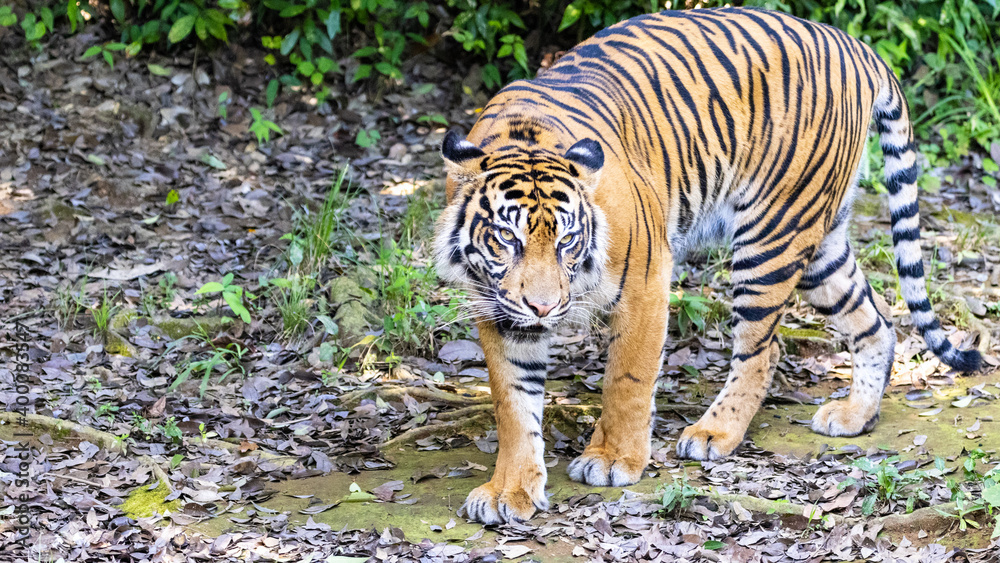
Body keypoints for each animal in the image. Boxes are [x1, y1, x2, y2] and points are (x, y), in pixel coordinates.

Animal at [432, 7, 982, 525]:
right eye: (508, 238)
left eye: (567, 240)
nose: (545, 309)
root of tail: (854, 45)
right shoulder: (500, 308)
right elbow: (513, 403)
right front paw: (511, 490)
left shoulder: (645, 281)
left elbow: (626, 380)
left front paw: (613, 459)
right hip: (821, 244)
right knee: (877, 323)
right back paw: (855, 415)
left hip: (773, 232)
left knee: (765, 348)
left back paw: (714, 432)